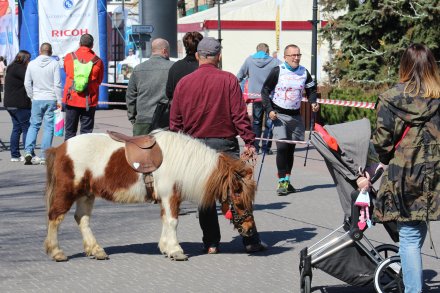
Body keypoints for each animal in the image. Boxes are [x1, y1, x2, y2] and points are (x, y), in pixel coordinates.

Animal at [43, 130, 256, 260]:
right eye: (239, 200)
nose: (249, 230)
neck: (183, 160)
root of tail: (59, 148)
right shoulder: (171, 196)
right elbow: (172, 221)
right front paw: (176, 250)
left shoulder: (167, 198)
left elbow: (166, 221)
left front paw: (166, 247)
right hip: (67, 192)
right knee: (55, 218)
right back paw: (56, 252)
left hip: (86, 194)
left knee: (82, 219)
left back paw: (96, 250)